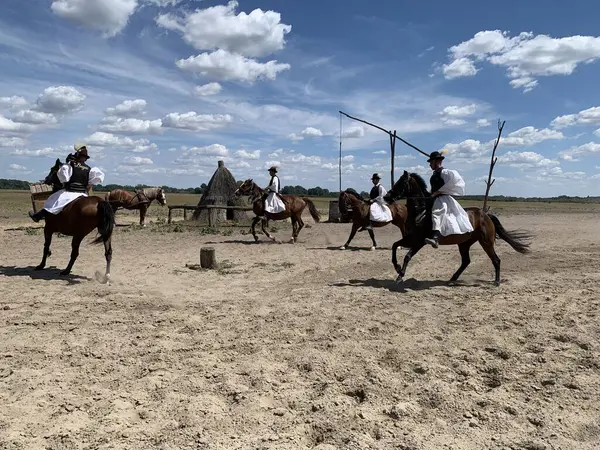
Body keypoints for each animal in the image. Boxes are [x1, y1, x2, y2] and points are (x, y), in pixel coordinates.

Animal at [384, 171, 528, 286]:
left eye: (401, 183)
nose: (386, 197)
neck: (421, 211)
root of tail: (485, 215)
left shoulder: (419, 241)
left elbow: (407, 256)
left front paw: (400, 276)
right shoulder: (411, 238)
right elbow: (394, 245)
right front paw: (397, 268)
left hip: (486, 242)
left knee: (496, 260)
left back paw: (496, 281)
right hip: (464, 243)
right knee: (466, 261)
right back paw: (453, 279)